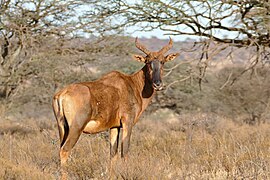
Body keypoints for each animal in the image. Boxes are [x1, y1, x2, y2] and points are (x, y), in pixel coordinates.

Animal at [52, 37, 179, 177]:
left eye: (162, 62)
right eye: (147, 62)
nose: (158, 84)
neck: (131, 84)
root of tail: (62, 94)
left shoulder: (114, 127)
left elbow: (113, 153)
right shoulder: (127, 122)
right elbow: (125, 151)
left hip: (62, 128)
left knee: (60, 149)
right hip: (76, 128)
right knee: (65, 150)